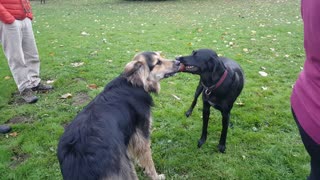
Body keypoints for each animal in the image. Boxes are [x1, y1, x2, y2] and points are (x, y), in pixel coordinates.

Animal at [57, 51, 180, 179]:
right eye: (158, 62)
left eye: (161, 56)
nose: (178, 62)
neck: (136, 84)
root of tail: (76, 155)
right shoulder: (142, 135)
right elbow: (148, 160)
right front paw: (155, 176)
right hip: (126, 167)